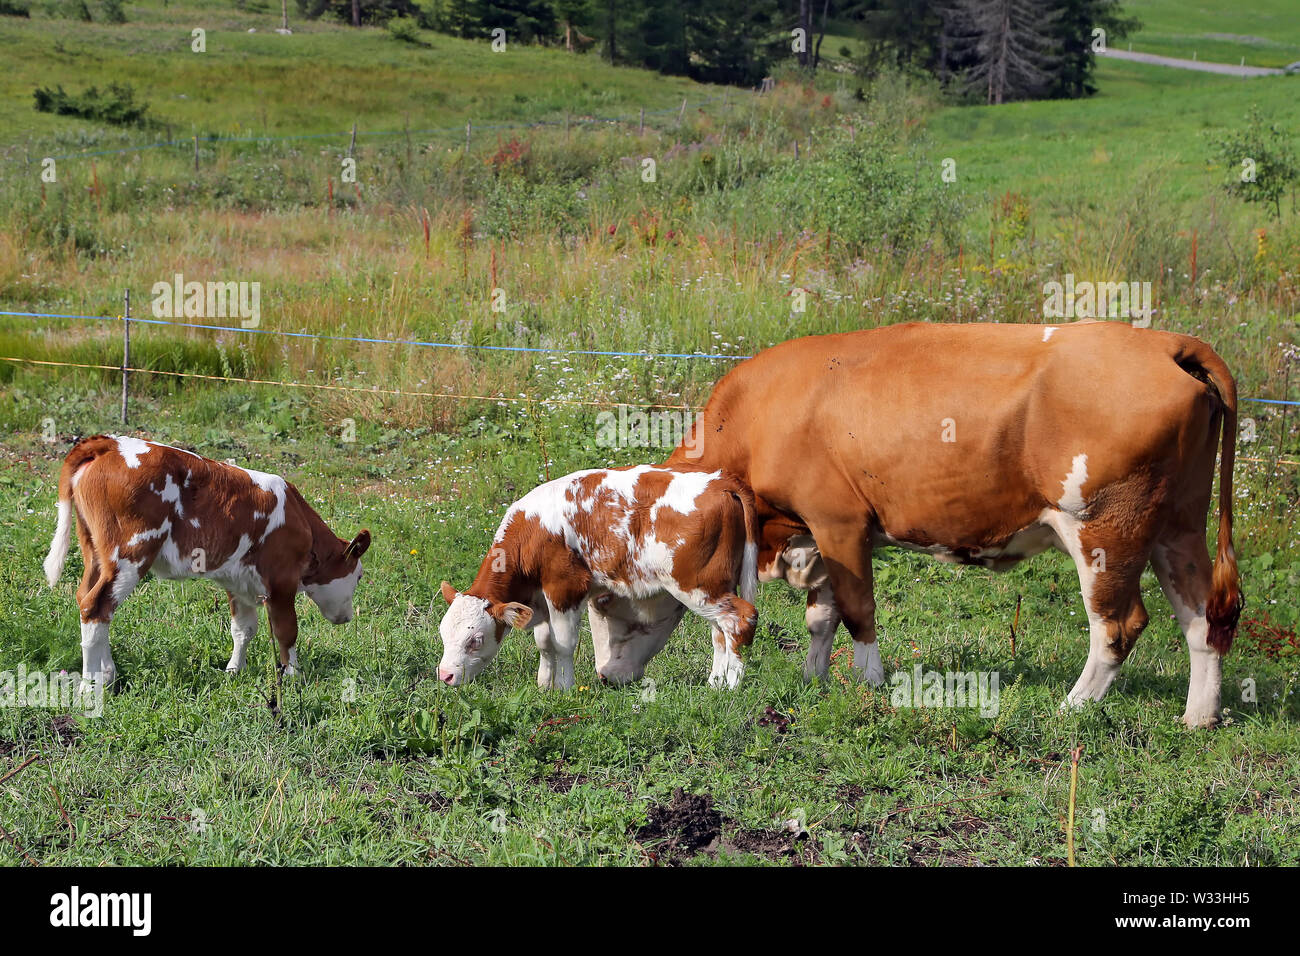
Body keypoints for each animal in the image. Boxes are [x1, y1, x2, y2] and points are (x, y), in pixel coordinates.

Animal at [42, 435, 371, 690]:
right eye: (358, 576)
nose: (347, 617)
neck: (299, 519)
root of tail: (111, 443)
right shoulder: (281, 581)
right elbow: (286, 631)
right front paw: (294, 676)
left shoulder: (239, 581)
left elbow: (243, 629)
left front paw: (234, 670)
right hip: (130, 553)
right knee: (96, 606)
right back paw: (91, 685)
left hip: (96, 552)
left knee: (89, 600)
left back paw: (108, 676)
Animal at [436, 465, 759, 689]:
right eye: (442, 634)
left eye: (475, 640)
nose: (445, 675)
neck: (533, 530)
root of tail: (720, 481)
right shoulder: (539, 599)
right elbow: (544, 642)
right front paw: (543, 685)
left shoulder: (565, 588)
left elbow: (563, 643)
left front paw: (564, 688)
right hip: (715, 588)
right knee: (720, 631)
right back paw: (715, 684)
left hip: (697, 586)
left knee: (741, 619)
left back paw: (732, 685)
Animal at [632, 321, 1242, 728]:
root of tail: (1164, 343)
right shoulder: (821, 536)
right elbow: (821, 617)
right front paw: (813, 679)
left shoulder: (840, 521)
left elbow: (856, 611)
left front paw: (871, 684)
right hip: (1177, 527)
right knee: (1204, 618)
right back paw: (1199, 717)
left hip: (1105, 530)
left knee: (1118, 626)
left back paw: (1071, 707)